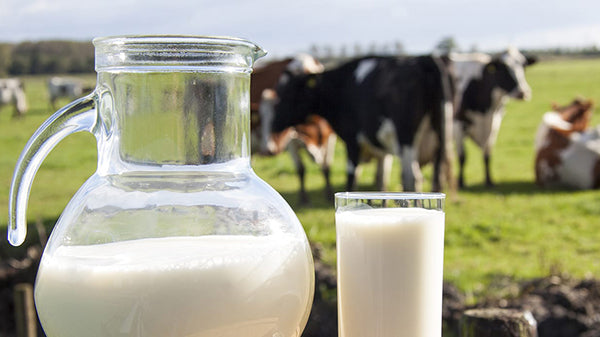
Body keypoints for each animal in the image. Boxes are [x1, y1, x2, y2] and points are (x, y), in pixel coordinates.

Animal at [251, 54, 340, 205]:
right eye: (262, 118)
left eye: (281, 113)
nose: (269, 150)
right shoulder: (292, 140)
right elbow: (301, 169)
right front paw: (304, 199)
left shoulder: (331, 136)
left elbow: (326, 166)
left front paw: (328, 195)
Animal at [272, 54, 454, 192]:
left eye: (289, 93)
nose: (274, 124)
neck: (340, 87)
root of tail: (424, 58)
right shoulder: (382, 148)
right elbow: (381, 181)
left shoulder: (352, 140)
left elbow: (352, 177)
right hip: (441, 135)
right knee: (435, 179)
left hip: (406, 138)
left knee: (412, 178)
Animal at [452, 47, 536, 188]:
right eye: (503, 68)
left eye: (523, 66)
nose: (523, 93)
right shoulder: (458, 125)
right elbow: (462, 157)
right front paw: (461, 183)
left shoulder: (494, 125)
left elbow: (487, 155)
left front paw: (489, 181)